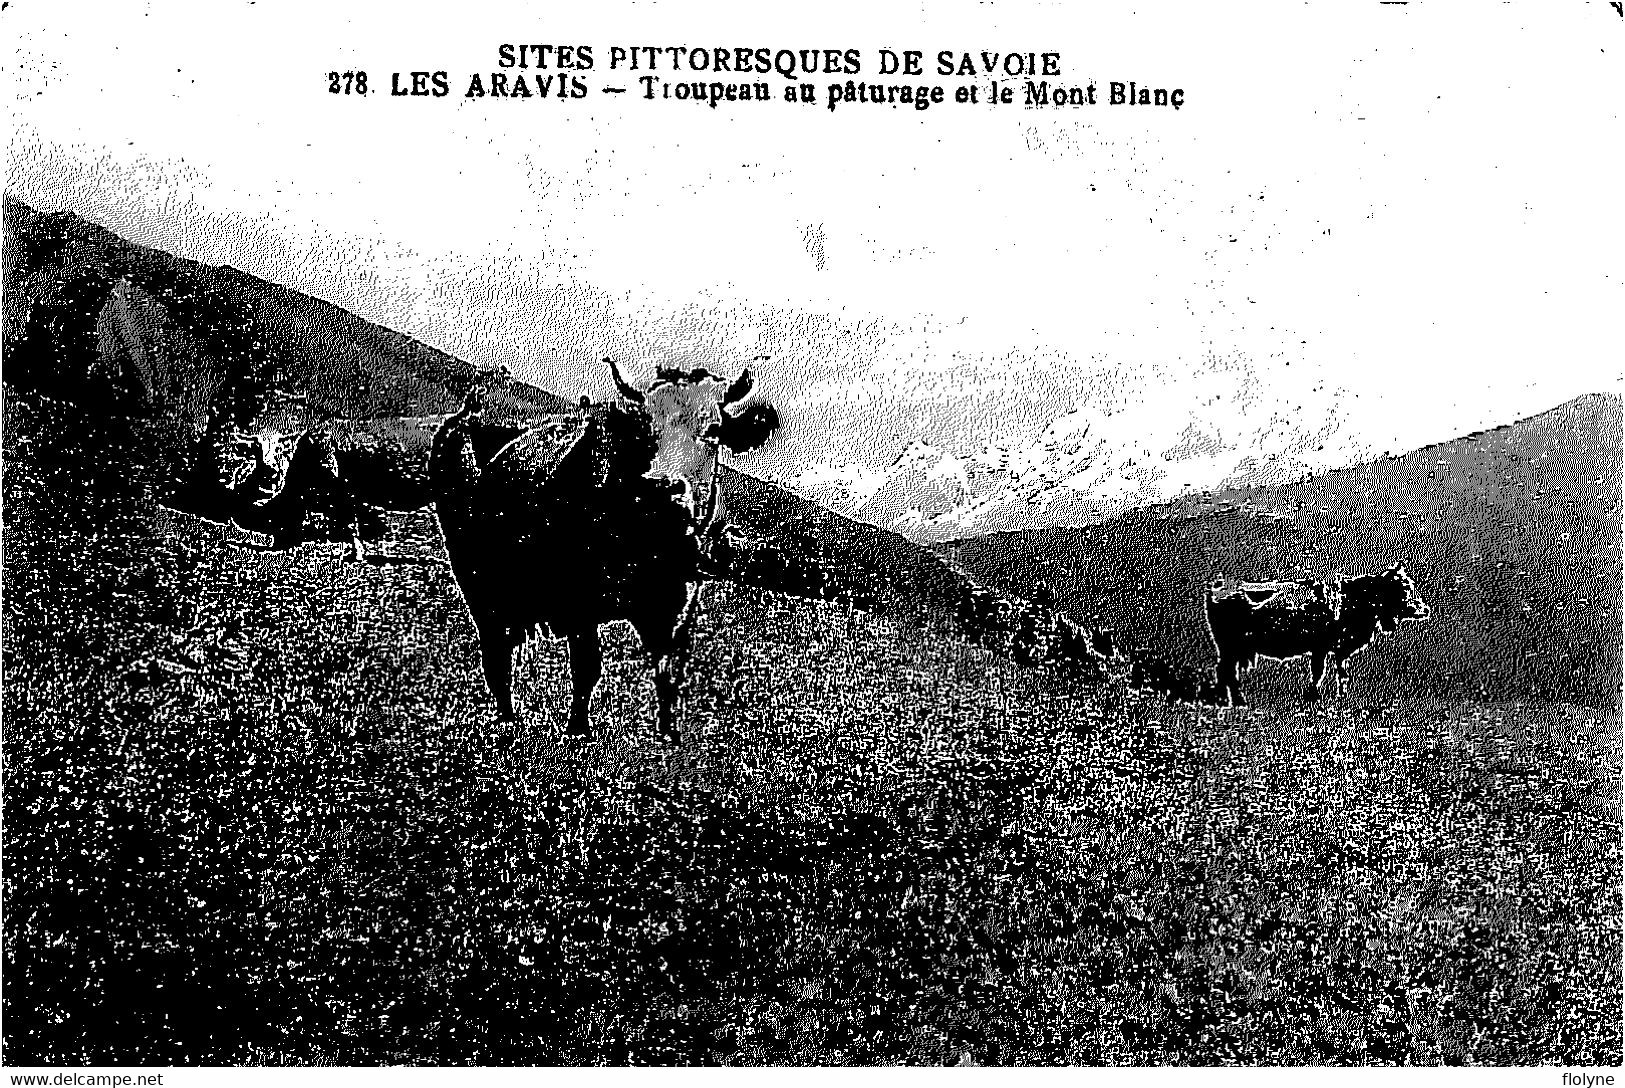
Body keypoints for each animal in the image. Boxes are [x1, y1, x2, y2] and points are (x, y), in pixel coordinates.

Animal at [429, 357, 783, 740]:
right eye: (642, 431)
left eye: (713, 430)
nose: (660, 487)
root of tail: (469, 413)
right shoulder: (577, 598)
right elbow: (587, 667)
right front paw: (578, 729)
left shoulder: (680, 600)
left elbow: (668, 672)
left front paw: (667, 732)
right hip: (474, 575)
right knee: (496, 652)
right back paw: (508, 720)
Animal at [1202, 568, 1430, 711]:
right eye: (1404, 588)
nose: (1425, 609)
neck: (1352, 599)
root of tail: (1221, 585)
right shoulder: (1321, 647)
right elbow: (1319, 673)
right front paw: (1313, 696)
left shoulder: (1338, 650)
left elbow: (1341, 674)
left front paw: (1341, 697)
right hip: (1230, 646)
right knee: (1225, 672)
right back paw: (1236, 702)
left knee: (1226, 671)